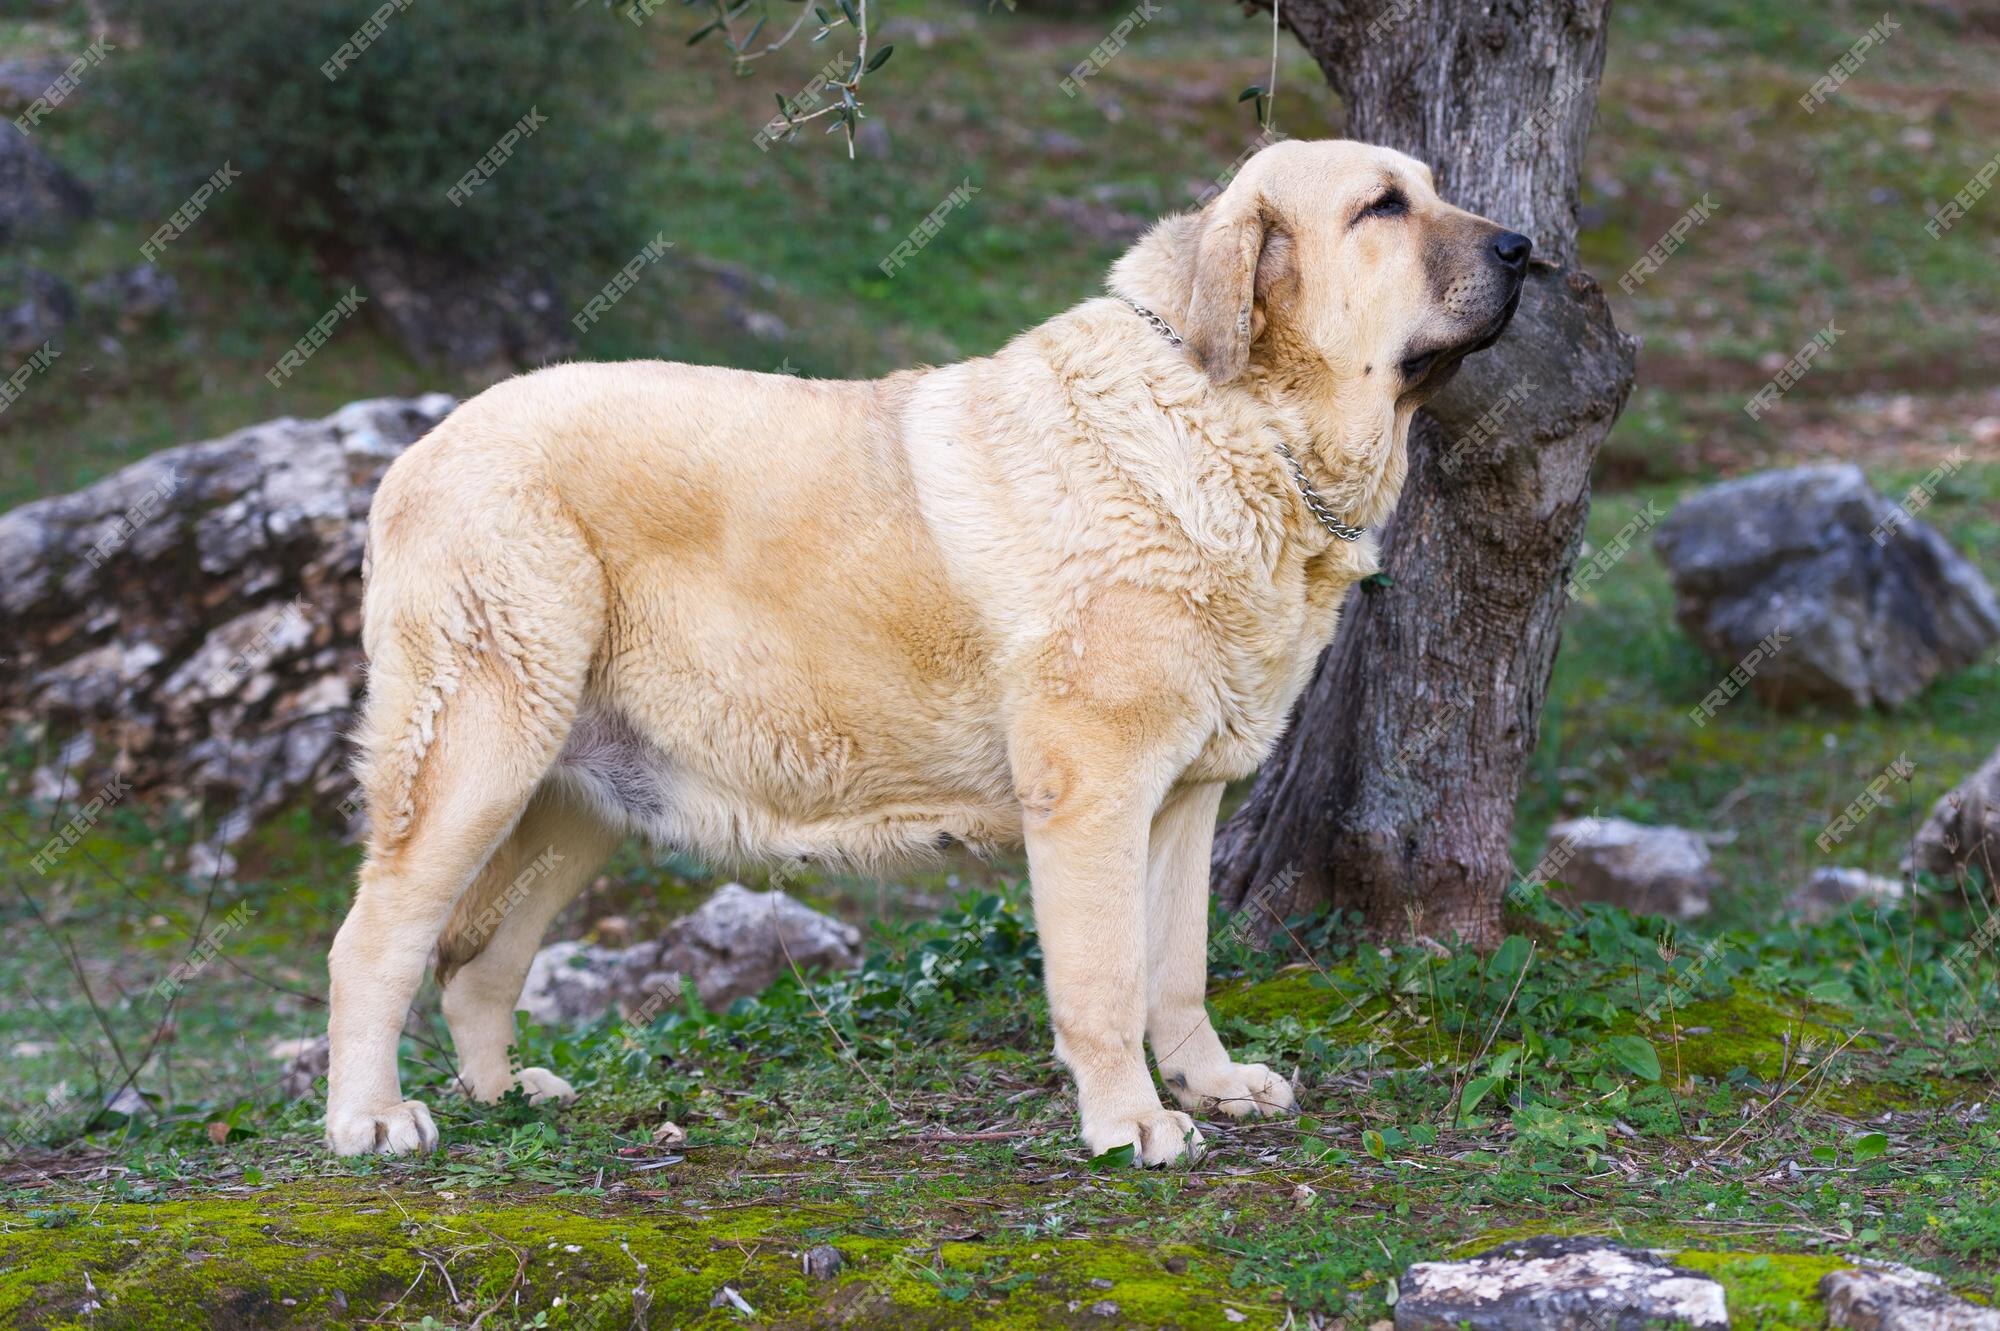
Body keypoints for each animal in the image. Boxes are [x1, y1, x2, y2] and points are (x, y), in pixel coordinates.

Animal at [328, 136, 1520, 1159]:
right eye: (1381, 207)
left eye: (1431, 187)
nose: (1524, 249)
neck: (1242, 427)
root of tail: (417, 451)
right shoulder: (1095, 790)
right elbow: (1108, 976)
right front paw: (1130, 1121)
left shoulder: (1185, 798)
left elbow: (1177, 967)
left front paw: (1211, 1083)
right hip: (478, 750)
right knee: (375, 937)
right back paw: (371, 1118)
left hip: (579, 795)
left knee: (479, 958)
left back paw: (503, 1091)